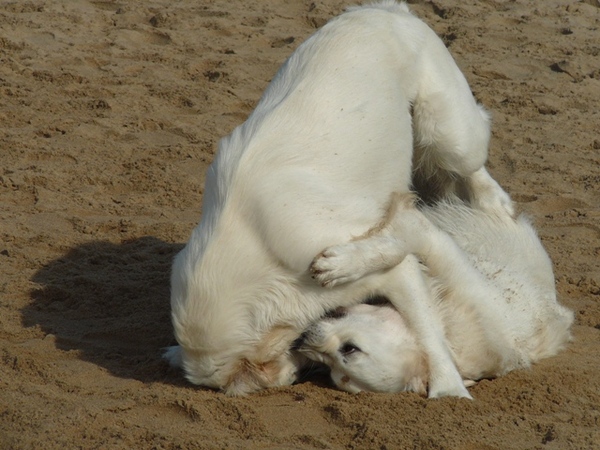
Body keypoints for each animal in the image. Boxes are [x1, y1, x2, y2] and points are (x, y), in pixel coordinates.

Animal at [165, 2, 516, 398]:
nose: (302, 361)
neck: (249, 244)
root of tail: (384, 11)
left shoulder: (392, 264)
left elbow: (425, 325)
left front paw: (446, 387)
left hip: (448, 136)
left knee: (473, 161)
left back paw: (495, 202)